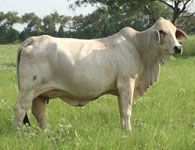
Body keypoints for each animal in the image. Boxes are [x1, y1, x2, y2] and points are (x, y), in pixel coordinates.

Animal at [13, 17, 187, 130]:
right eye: (162, 32)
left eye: (174, 31)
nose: (178, 48)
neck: (138, 46)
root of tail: (32, 40)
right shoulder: (126, 83)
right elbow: (127, 110)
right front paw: (129, 131)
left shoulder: (120, 88)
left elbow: (121, 110)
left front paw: (123, 131)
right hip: (28, 89)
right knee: (20, 109)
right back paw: (19, 133)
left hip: (39, 93)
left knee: (38, 112)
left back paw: (46, 131)